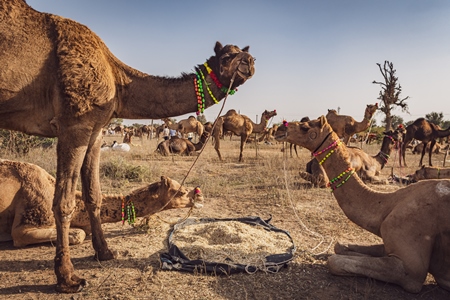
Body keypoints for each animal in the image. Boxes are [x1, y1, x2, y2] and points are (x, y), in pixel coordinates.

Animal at [274, 116, 450, 294]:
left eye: (304, 127)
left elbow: (335, 261)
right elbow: (339, 246)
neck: (389, 204)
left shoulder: (411, 271)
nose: (279, 129)